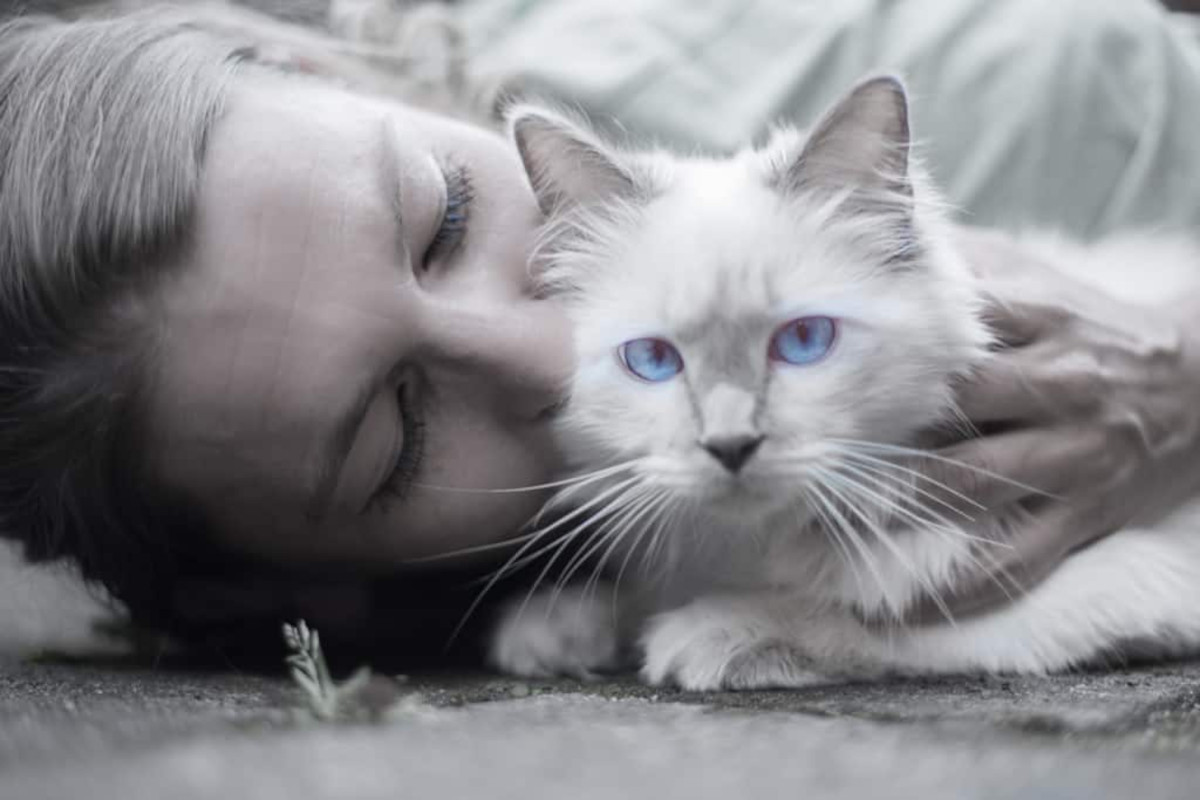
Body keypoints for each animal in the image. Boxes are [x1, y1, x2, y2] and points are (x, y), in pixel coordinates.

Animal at [482, 76, 1200, 690]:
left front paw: (712, 633)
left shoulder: (1101, 576)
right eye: (654, 360)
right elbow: (634, 595)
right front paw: (555, 628)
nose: (730, 446)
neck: (746, 548)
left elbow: (875, 618)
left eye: (804, 342)